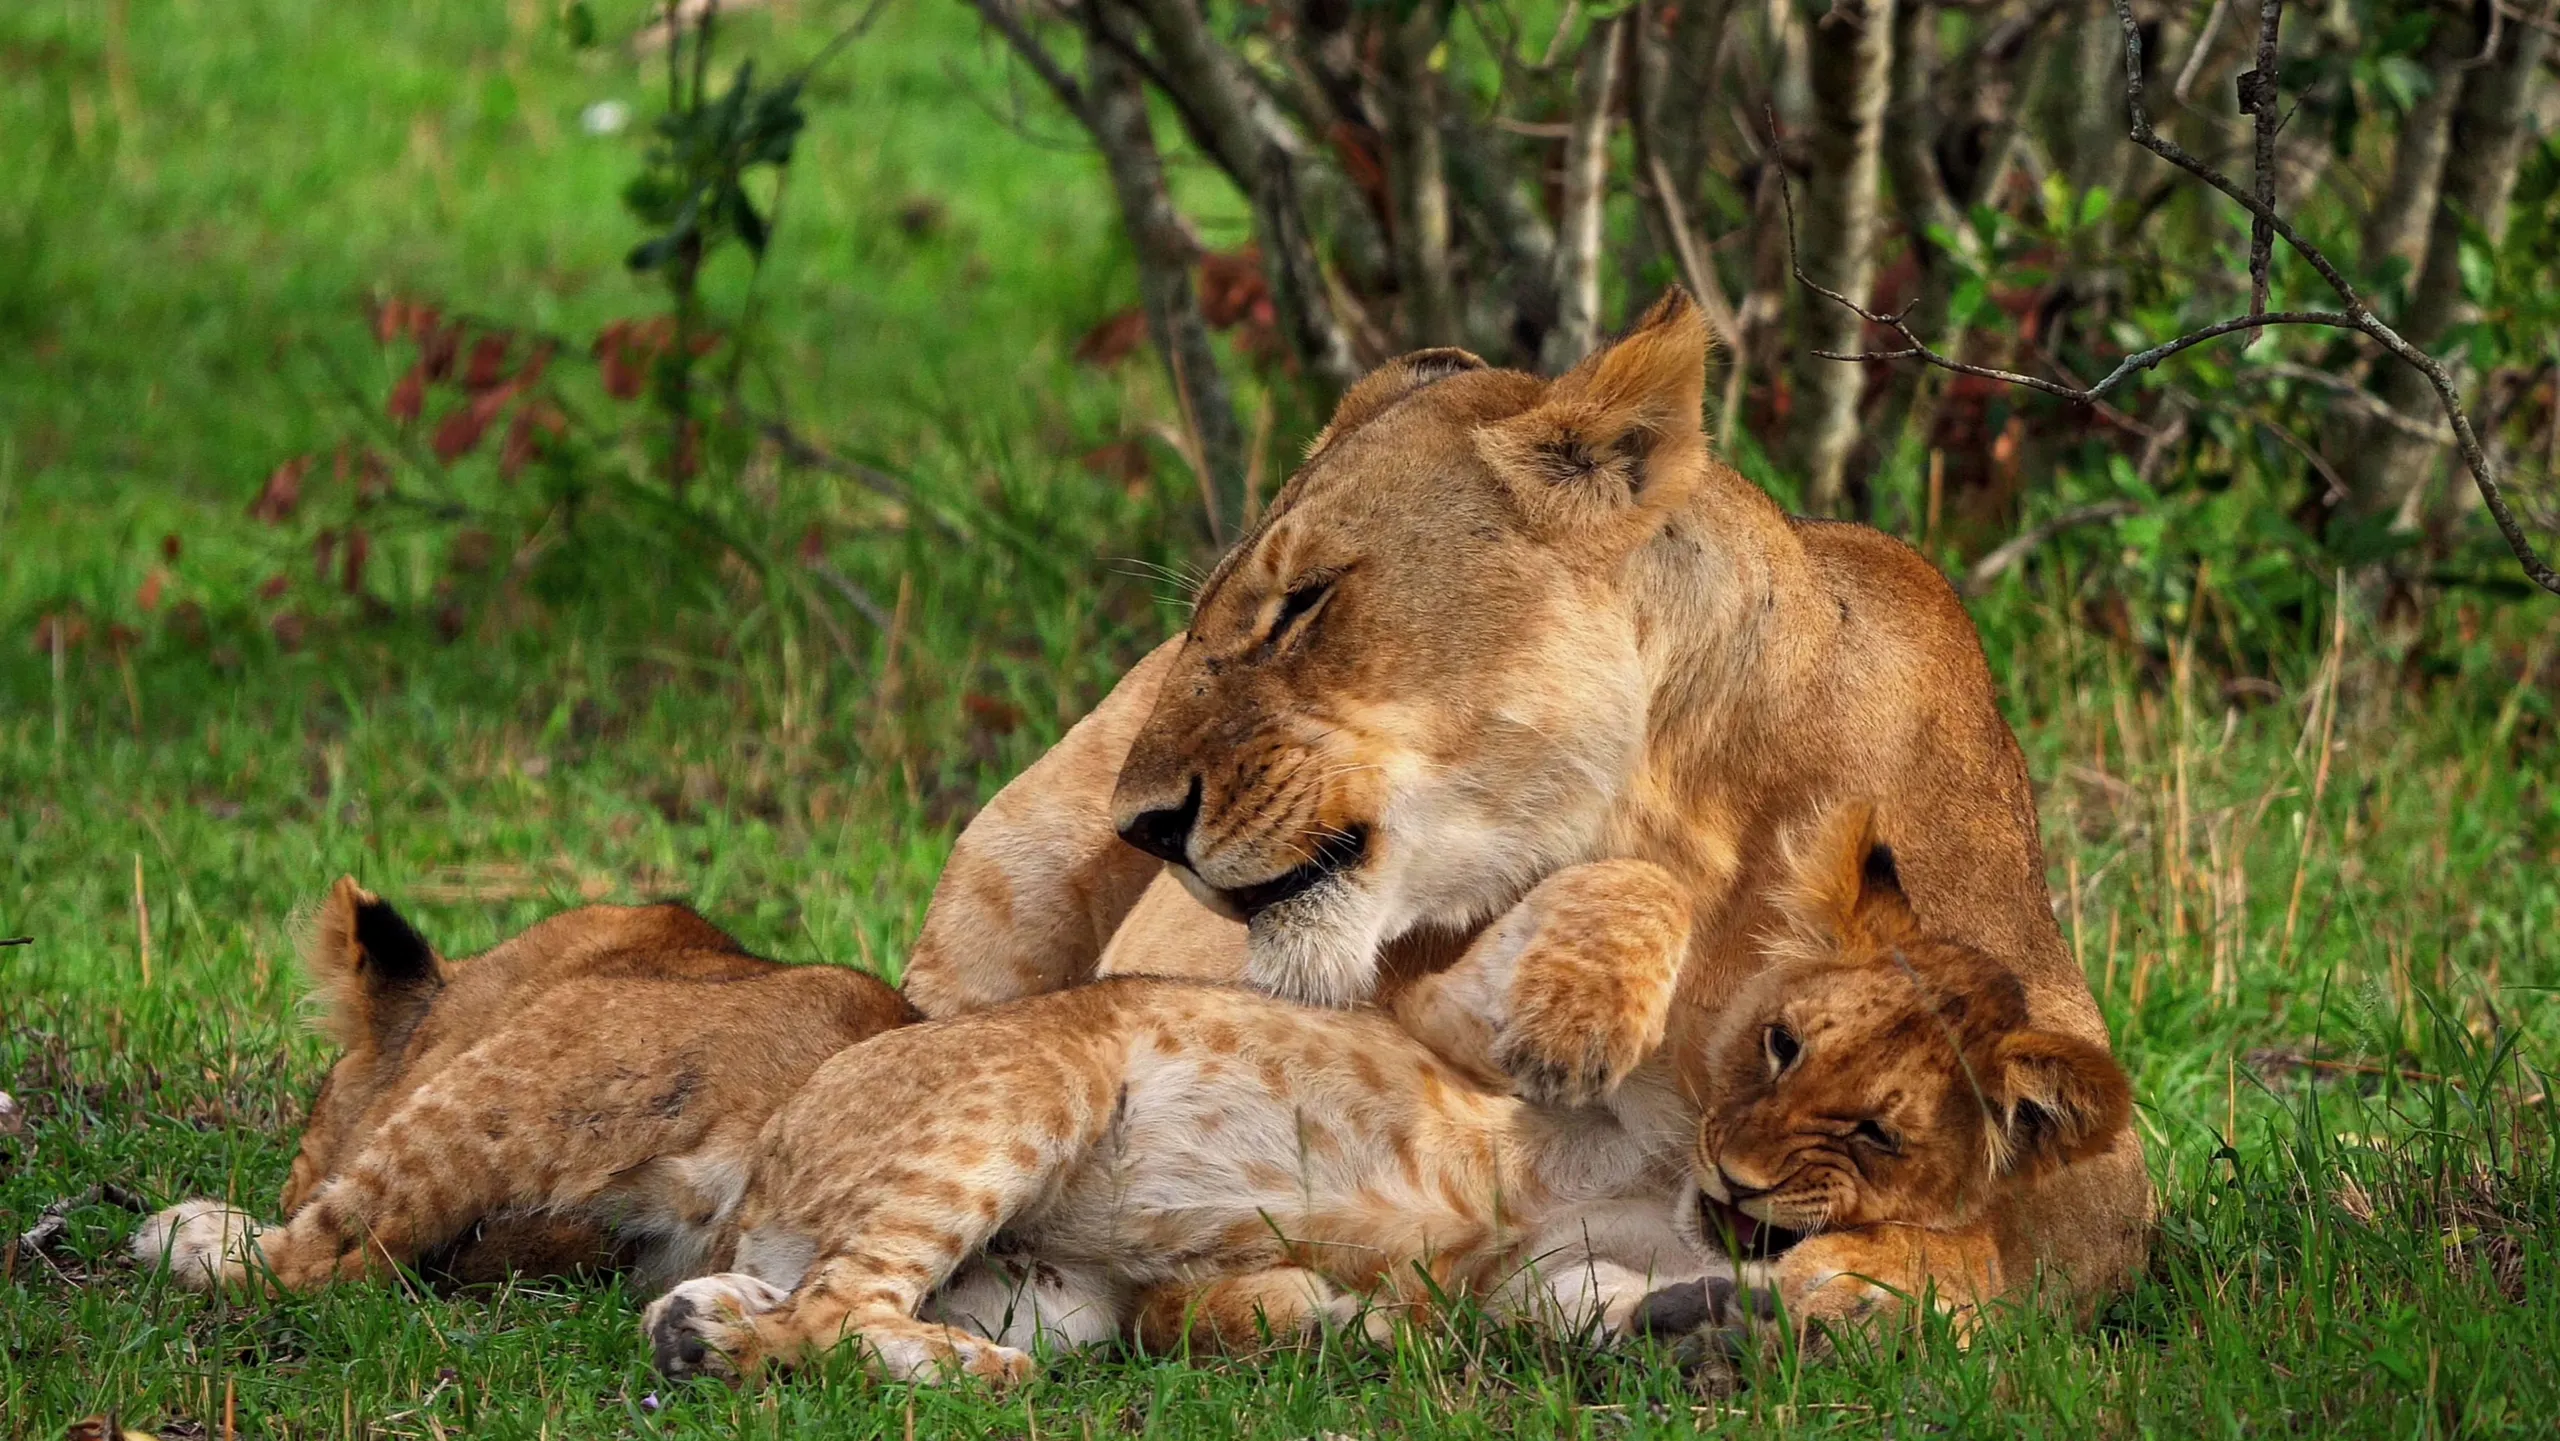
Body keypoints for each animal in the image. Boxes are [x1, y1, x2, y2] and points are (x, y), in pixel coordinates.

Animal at [897, 289, 2152, 1326]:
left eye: (1302, 603)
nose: (1145, 821)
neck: (1694, 815)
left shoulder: (2082, 1116)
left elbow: (2039, 1226)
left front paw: (1864, 1273)